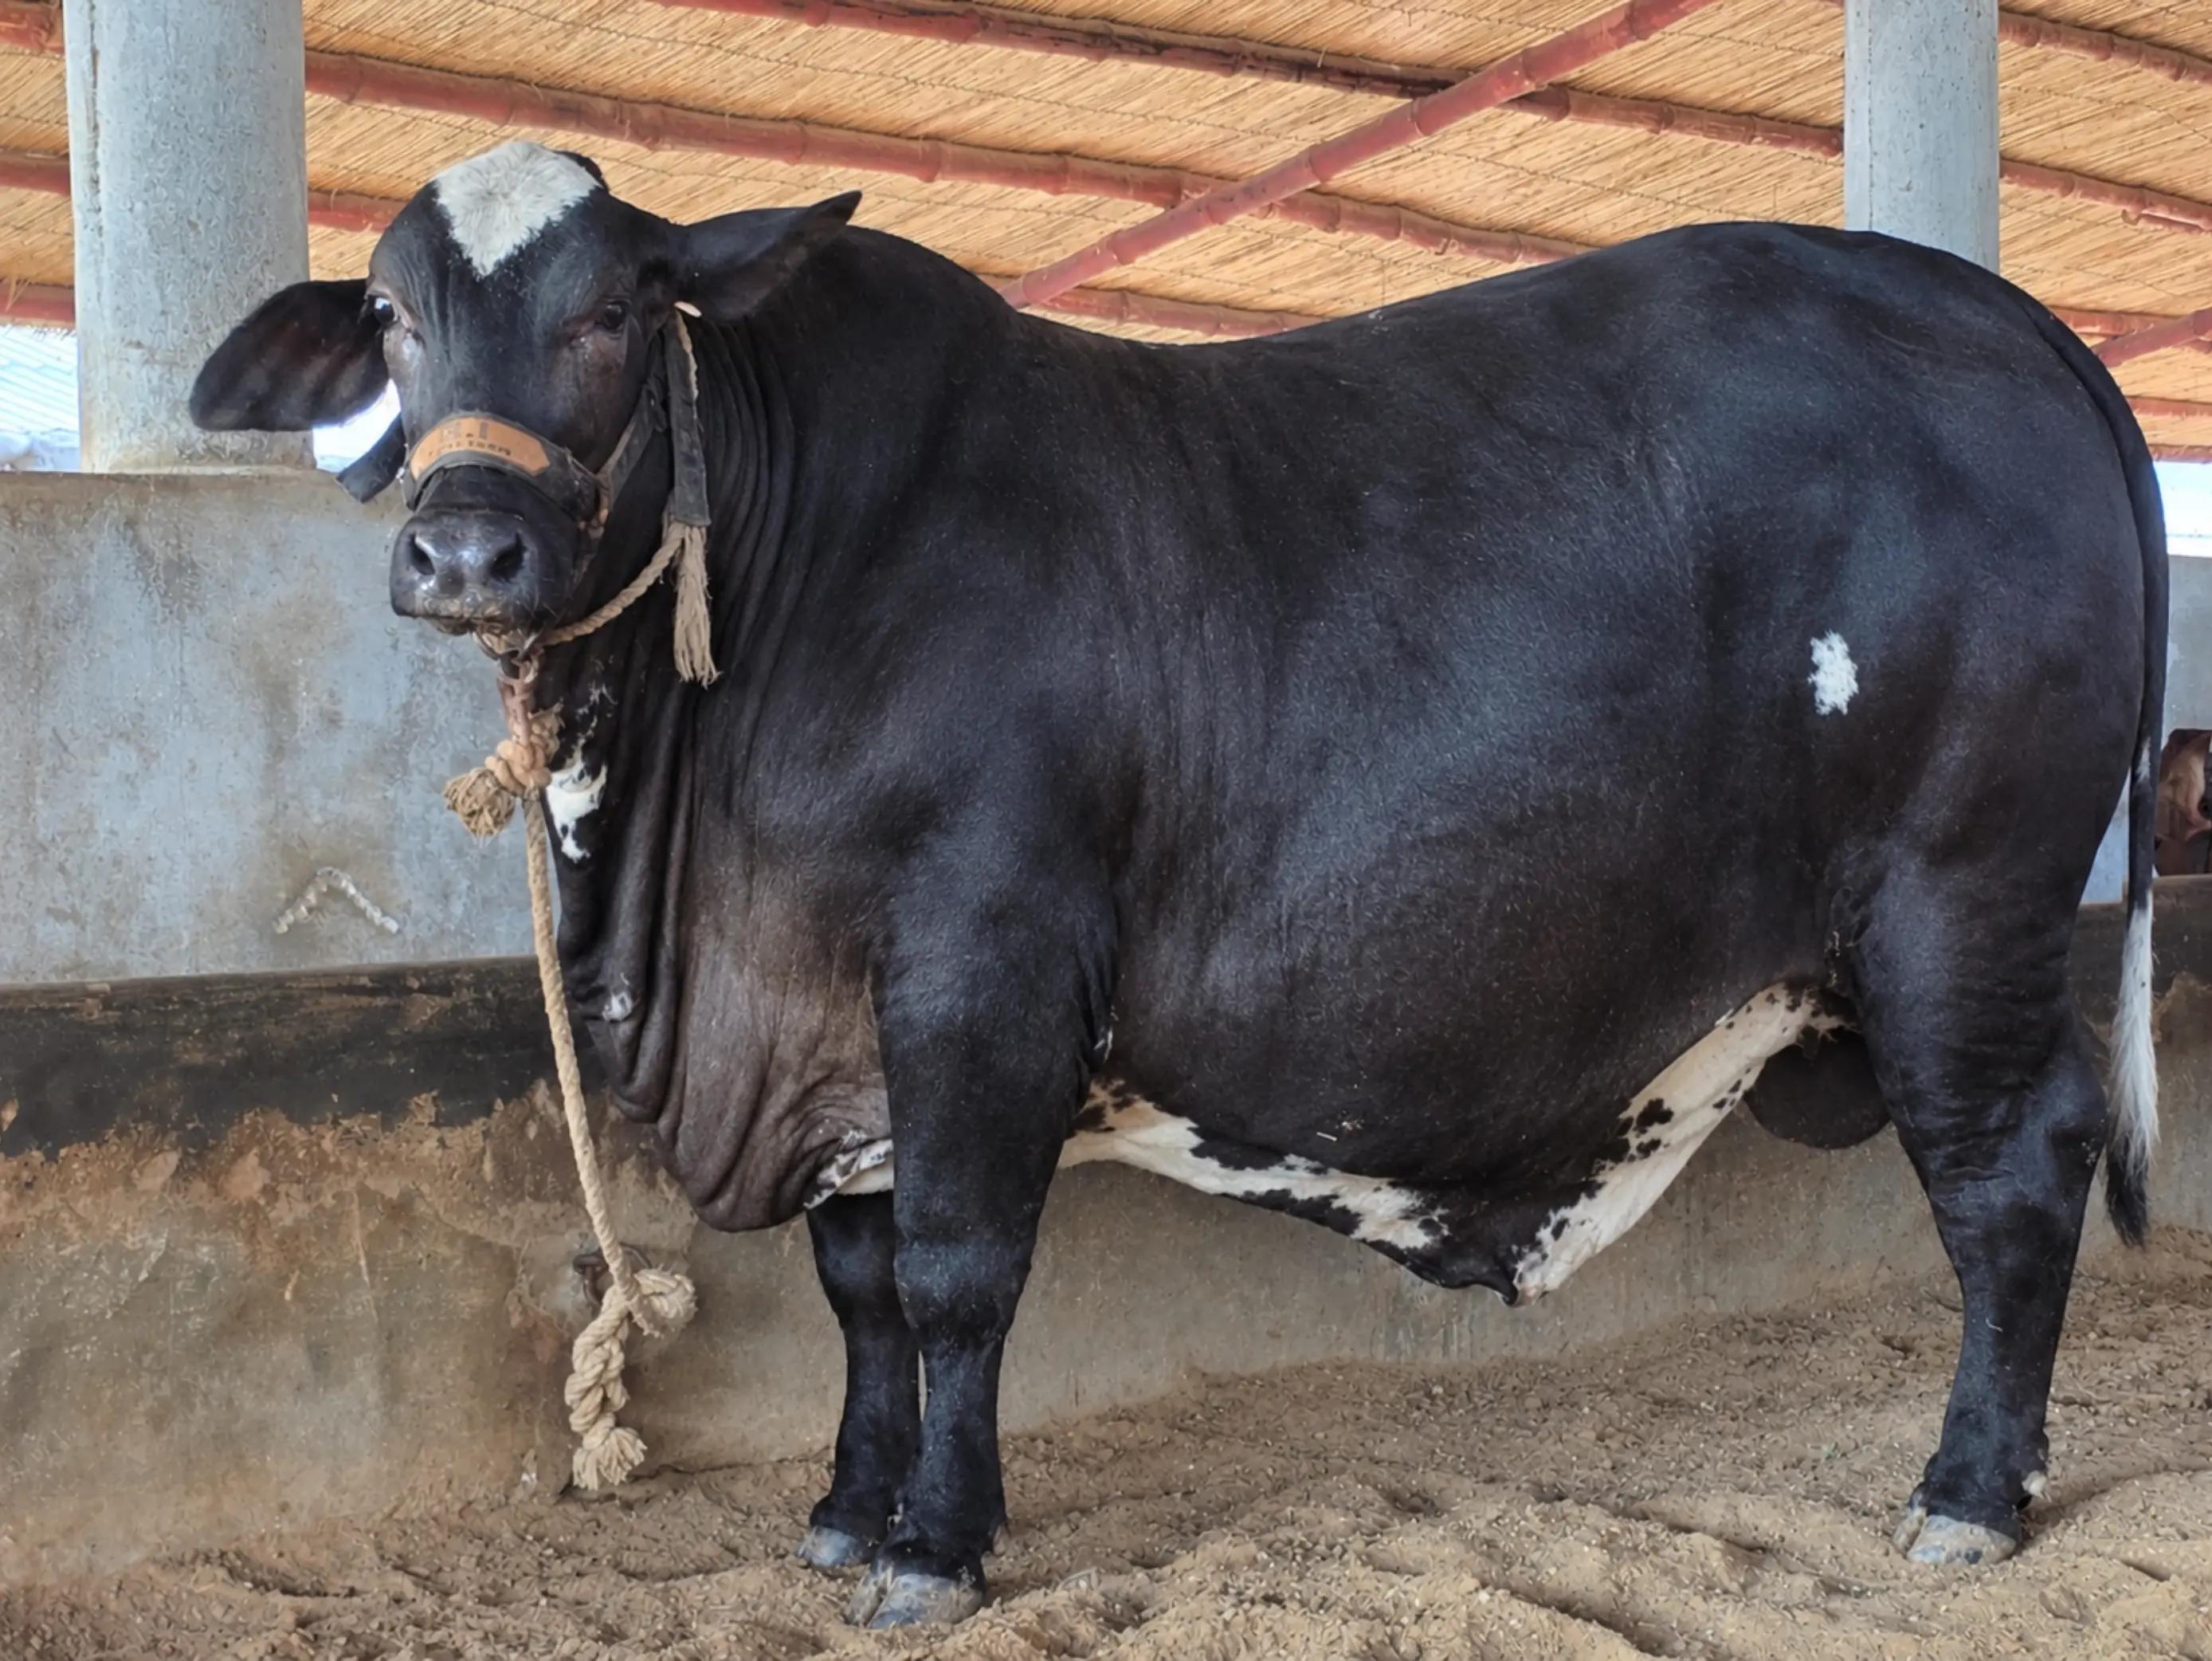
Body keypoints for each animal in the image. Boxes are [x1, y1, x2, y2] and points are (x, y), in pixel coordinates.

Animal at [192, 140, 2164, 1627]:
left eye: (607, 311)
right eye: (392, 317)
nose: (464, 549)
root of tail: (1990, 310)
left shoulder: (977, 962)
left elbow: (952, 1271)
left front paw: (932, 1548)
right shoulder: (839, 1027)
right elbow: (855, 1281)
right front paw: (842, 1510)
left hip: (1955, 903)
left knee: (2008, 1173)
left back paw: (1966, 1493)